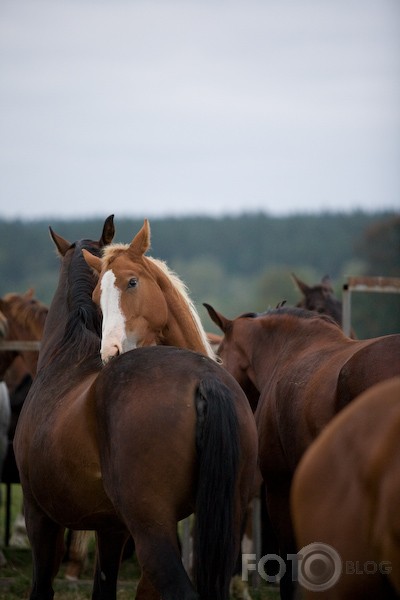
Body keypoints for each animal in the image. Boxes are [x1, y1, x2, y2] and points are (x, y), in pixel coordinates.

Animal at [14, 217, 258, 600]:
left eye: (132, 282)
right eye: (98, 296)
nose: (111, 352)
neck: (65, 354)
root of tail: (205, 379)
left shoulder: (39, 514)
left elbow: (42, 586)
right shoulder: (111, 527)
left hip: (150, 530)